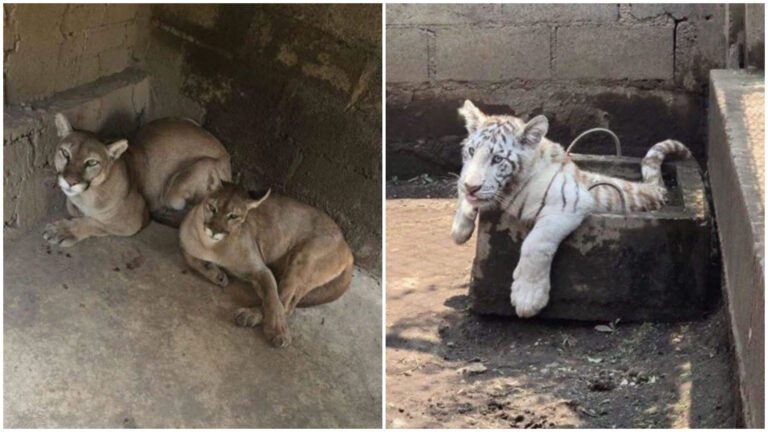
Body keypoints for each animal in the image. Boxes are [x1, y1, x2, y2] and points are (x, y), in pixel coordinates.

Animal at [451, 100, 691, 318]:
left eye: (497, 159)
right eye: (471, 151)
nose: (472, 187)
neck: (511, 187)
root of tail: (654, 189)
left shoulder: (570, 202)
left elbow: (535, 244)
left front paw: (528, 298)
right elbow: (464, 190)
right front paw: (459, 229)